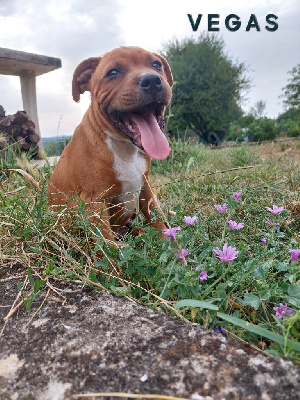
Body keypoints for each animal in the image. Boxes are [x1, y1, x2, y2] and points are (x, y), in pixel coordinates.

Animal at [48, 47, 172, 241]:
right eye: (113, 72)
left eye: (156, 64)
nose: (151, 80)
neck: (125, 149)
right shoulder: (95, 200)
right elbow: (105, 240)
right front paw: (115, 250)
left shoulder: (145, 186)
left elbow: (154, 214)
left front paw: (167, 239)